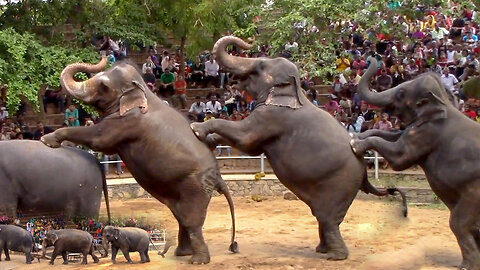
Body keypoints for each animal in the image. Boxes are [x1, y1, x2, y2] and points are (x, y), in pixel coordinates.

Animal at [41, 56, 238, 264]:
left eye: (103, 85)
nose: (104, 57)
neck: (142, 89)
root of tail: (218, 176)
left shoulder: (128, 121)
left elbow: (99, 140)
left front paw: (47, 140)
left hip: (196, 185)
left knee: (191, 220)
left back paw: (197, 260)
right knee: (181, 216)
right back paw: (182, 253)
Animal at [189, 36, 406, 262]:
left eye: (260, 66)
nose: (248, 44)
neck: (296, 90)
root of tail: (364, 172)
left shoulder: (273, 117)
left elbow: (245, 140)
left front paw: (196, 128)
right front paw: (207, 139)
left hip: (340, 185)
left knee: (328, 219)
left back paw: (334, 256)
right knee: (322, 218)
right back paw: (322, 250)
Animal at [350, 57, 480, 270]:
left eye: (401, 93)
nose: (371, 58)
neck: (443, 101)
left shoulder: (426, 134)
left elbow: (399, 157)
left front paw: (355, 143)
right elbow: (393, 135)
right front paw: (356, 135)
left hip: (474, 192)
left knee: (459, 224)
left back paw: (467, 266)